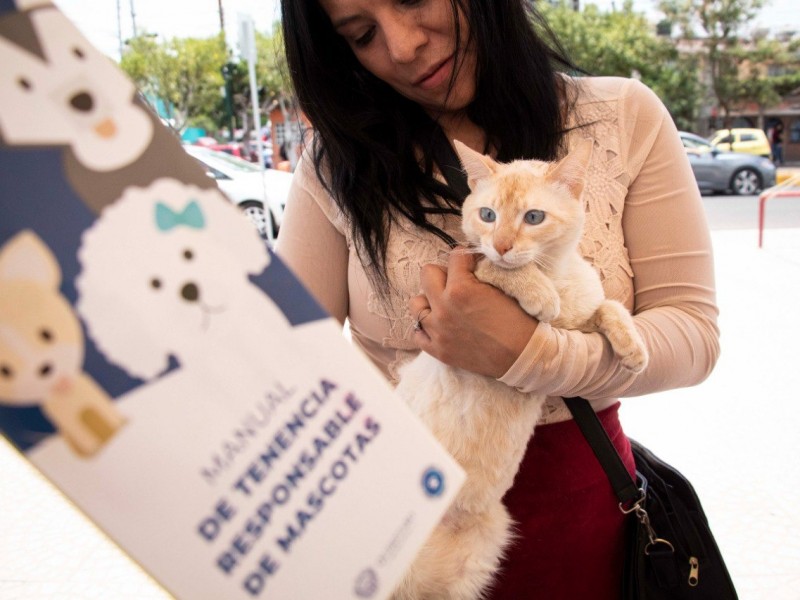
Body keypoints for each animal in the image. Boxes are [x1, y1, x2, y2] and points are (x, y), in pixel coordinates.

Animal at [394, 139, 648, 600]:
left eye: (533, 217)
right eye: (487, 215)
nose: (502, 244)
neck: (557, 273)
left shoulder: (577, 324)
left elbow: (607, 306)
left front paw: (632, 346)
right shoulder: (472, 275)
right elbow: (493, 270)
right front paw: (537, 292)